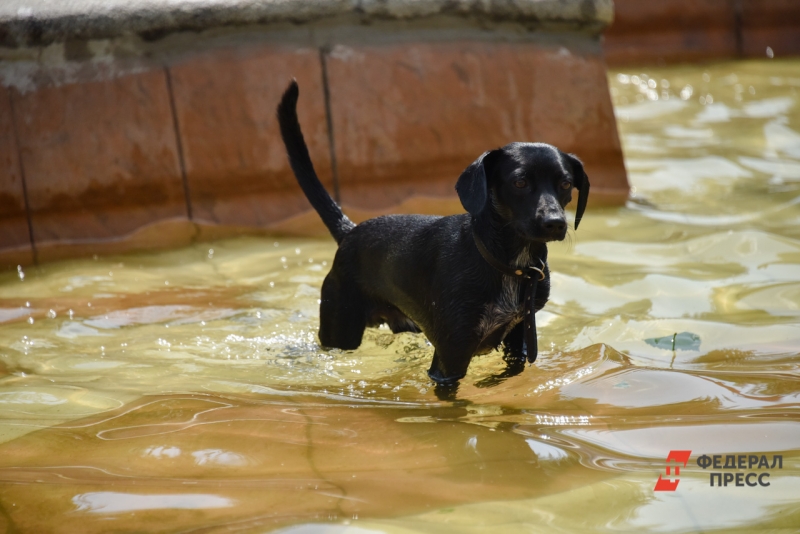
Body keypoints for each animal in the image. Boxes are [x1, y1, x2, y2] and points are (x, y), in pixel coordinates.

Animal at [276, 80, 588, 390]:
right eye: (520, 182)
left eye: (565, 183)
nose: (555, 223)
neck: (503, 262)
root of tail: (350, 231)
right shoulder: (450, 354)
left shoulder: (518, 337)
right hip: (340, 330)